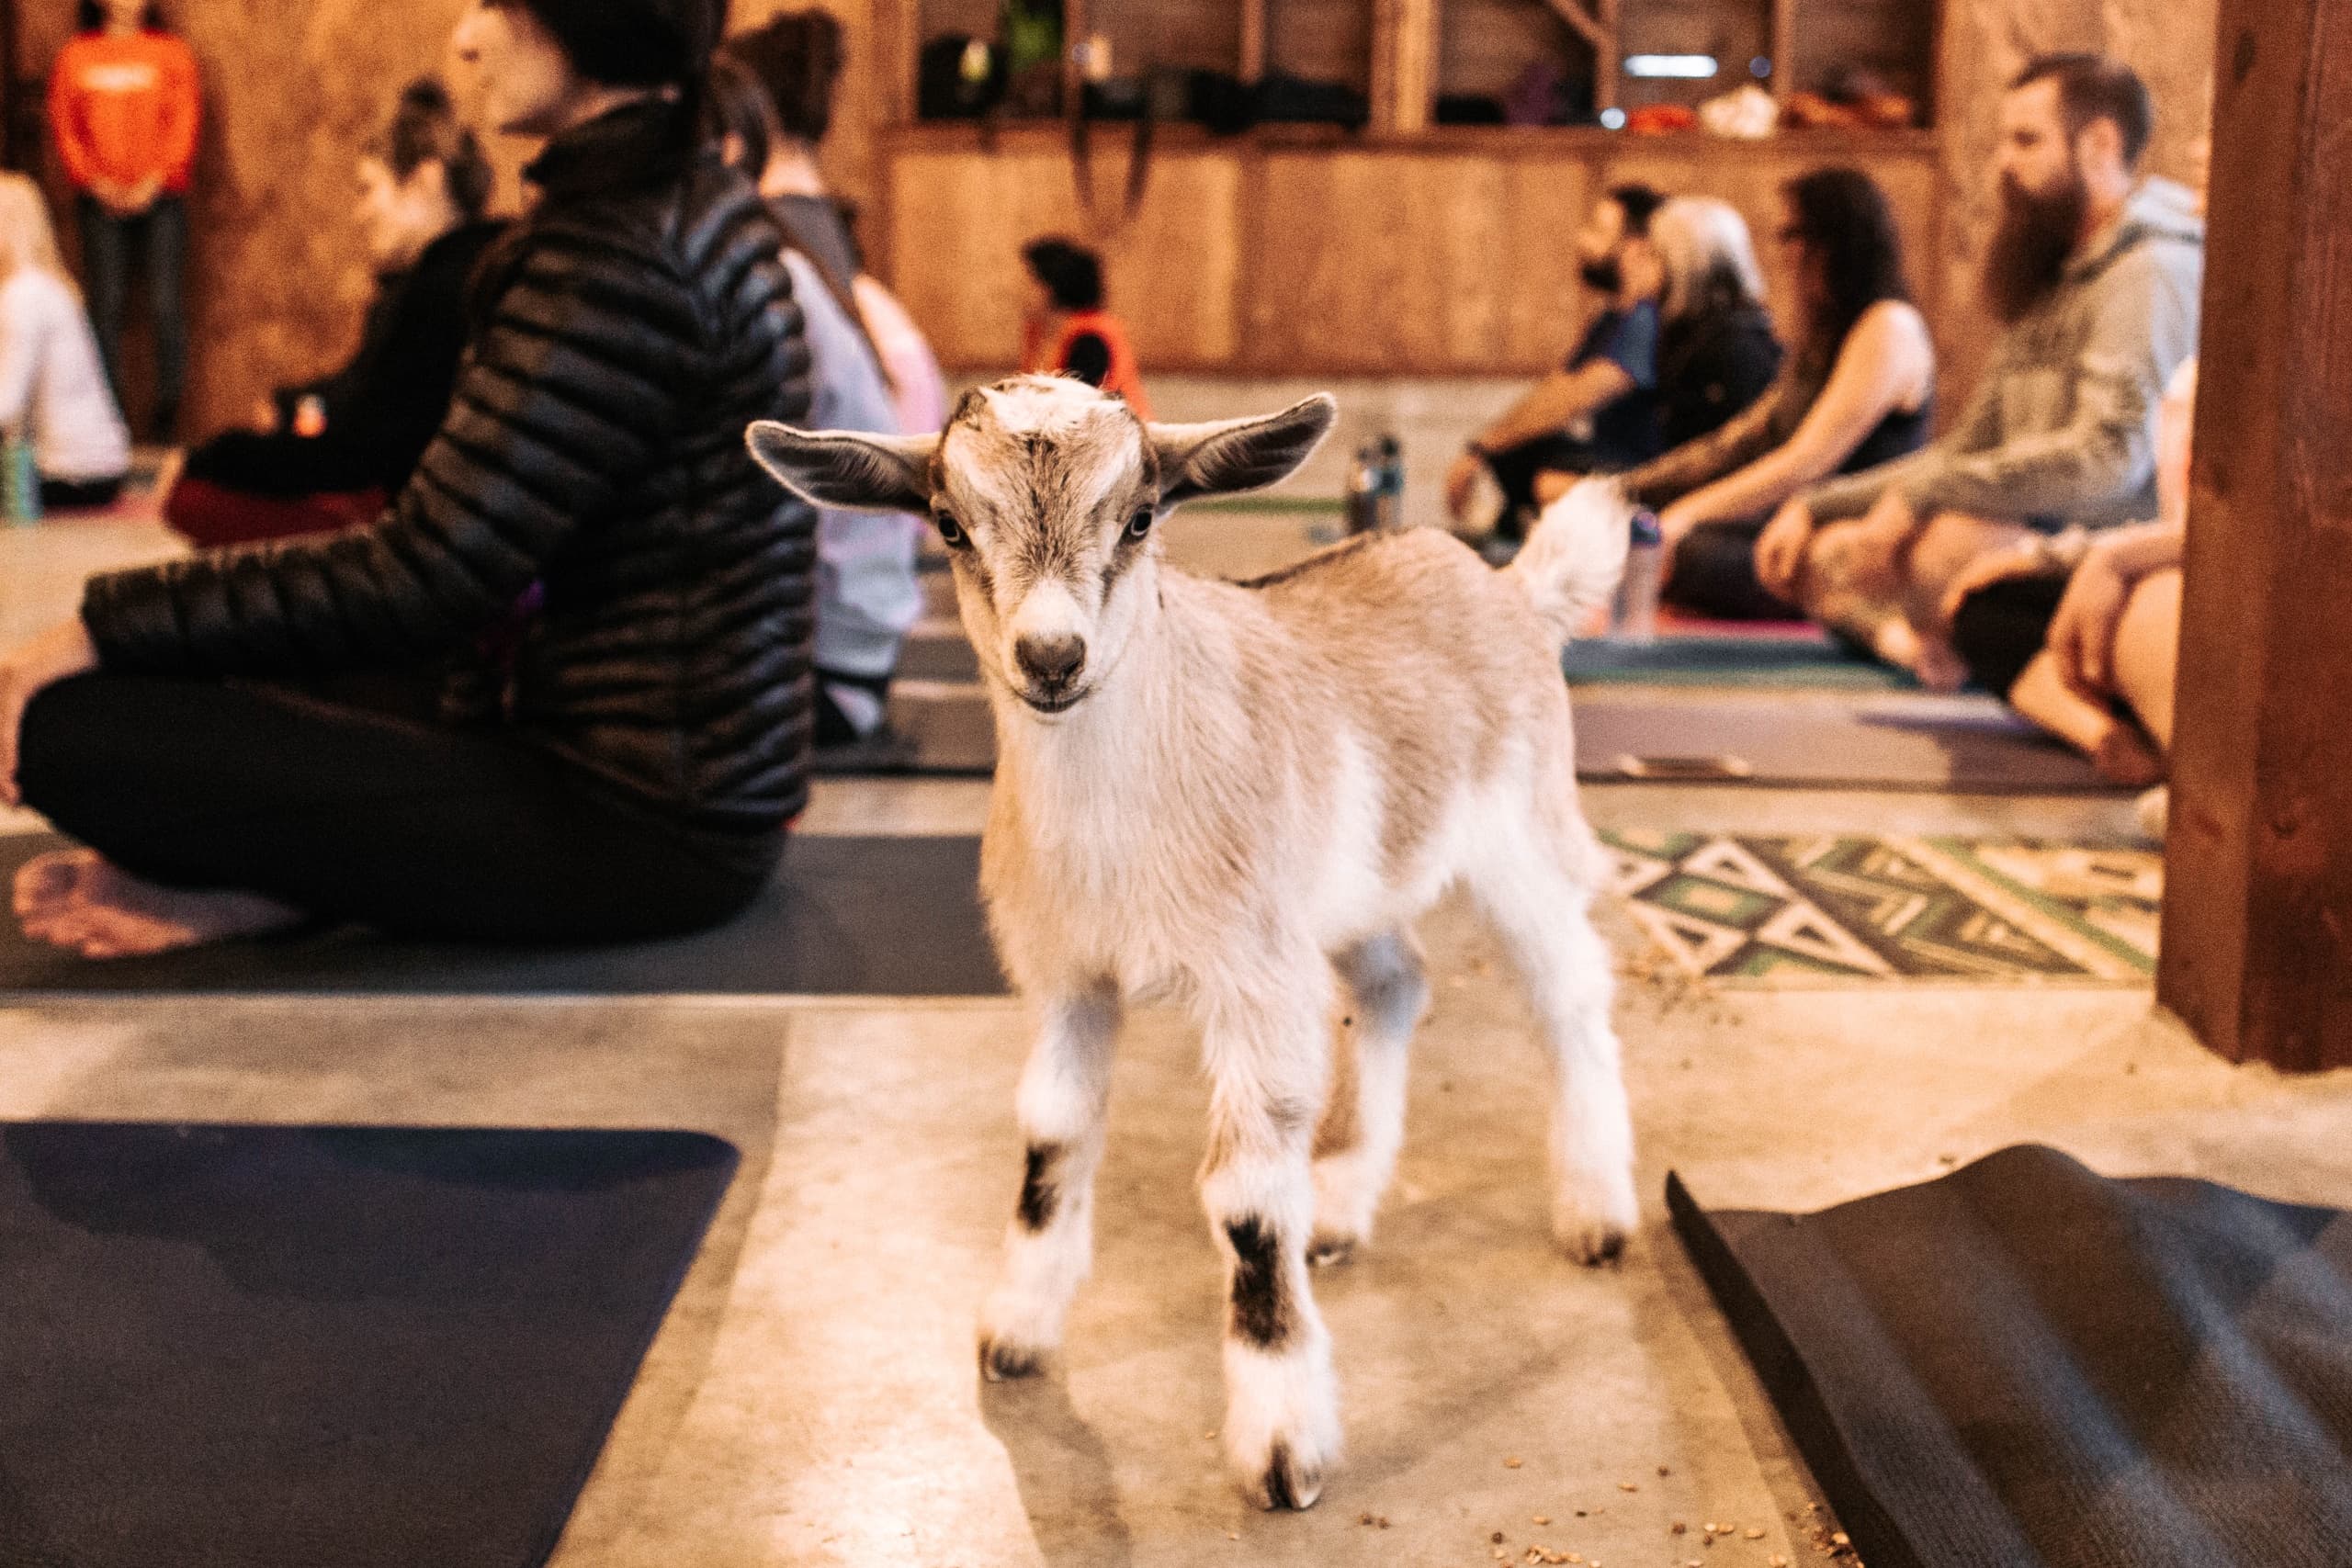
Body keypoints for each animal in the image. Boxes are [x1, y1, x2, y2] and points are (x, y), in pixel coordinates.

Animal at [749, 376, 1637, 1512]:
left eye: (1139, 517)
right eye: (947, 524)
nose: (1052, 659)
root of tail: (1509, 585)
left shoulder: (1251, 982)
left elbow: (1246, 1204)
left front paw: (1282, 1445)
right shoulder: (1071, 979)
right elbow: (1051, 1138)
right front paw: (1018, 1328)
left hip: (1518, 834)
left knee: (1569, 992)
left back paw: (1595, 1210)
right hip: (1349, 893)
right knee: (1396, 983)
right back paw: (1339, 1205)